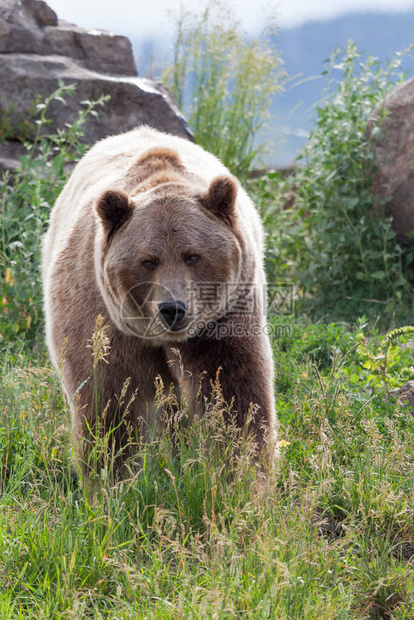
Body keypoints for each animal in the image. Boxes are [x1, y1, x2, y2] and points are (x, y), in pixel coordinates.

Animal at [42, 126, 276, 474]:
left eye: (193, 255)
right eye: (148, 261)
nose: (172, 309)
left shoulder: (224, 318)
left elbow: (232, 395)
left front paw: (241, 471)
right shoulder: (103, 319)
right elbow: (109, 400)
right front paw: (111, 473)